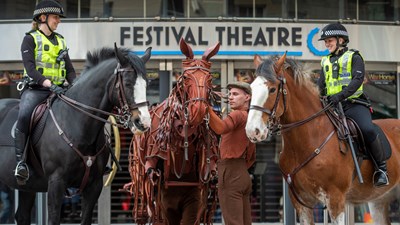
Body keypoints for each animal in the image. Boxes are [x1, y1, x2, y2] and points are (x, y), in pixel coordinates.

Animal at [0, 44, 152, 225]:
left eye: (147, 83)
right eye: (128, 83)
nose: (143, 122)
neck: (77, 124)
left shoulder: (93, 186)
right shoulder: (56, 183)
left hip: (27, 186)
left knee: (22, 215)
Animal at [245, 53, 400, 224]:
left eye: (272, 89)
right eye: (252, 88)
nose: (253, 131)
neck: (307, 141)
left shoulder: (336, 199)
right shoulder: (301, 203)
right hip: (379, 201)